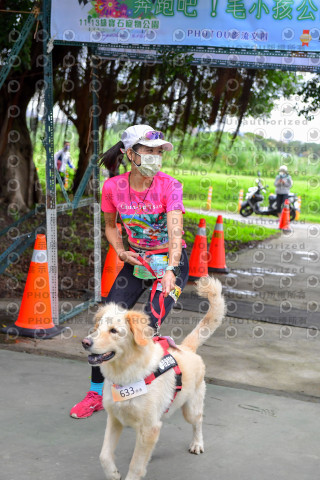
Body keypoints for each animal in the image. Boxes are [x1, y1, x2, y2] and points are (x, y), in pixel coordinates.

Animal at [82, 276, 225, 478]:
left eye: (114, 331)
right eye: (97, 328)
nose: (85, 342)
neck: (125, 374)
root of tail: (187, 348)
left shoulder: (149, 427)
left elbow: (136, 465)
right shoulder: (115, 419)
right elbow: (104, 456)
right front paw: (113, 474)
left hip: (190, 409)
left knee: (198, 421)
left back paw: (197, 443)